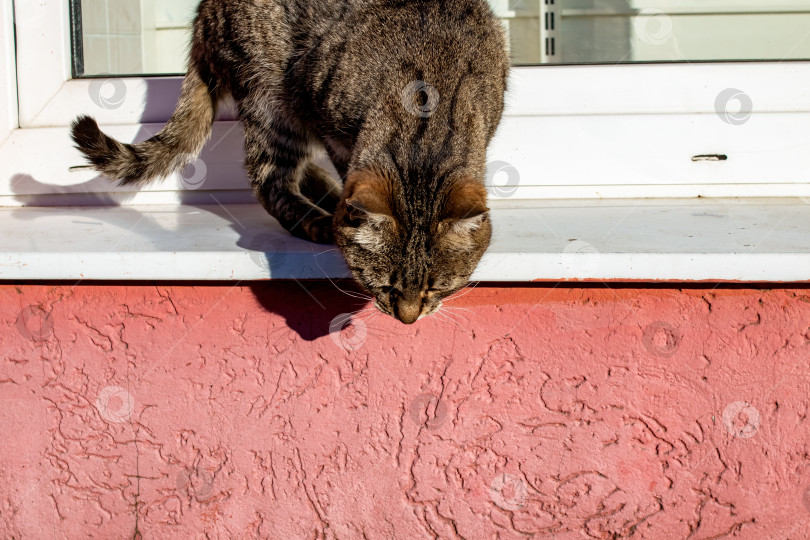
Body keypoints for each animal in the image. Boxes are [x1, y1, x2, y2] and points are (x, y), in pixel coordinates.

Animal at [72, 0, 508, 320]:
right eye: (385, 285)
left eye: (436, 287)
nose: (408, 318)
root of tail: (205, 11)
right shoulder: (329, 122)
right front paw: (339, 218)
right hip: (271, 99)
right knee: (270, 182)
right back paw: (318, 218)